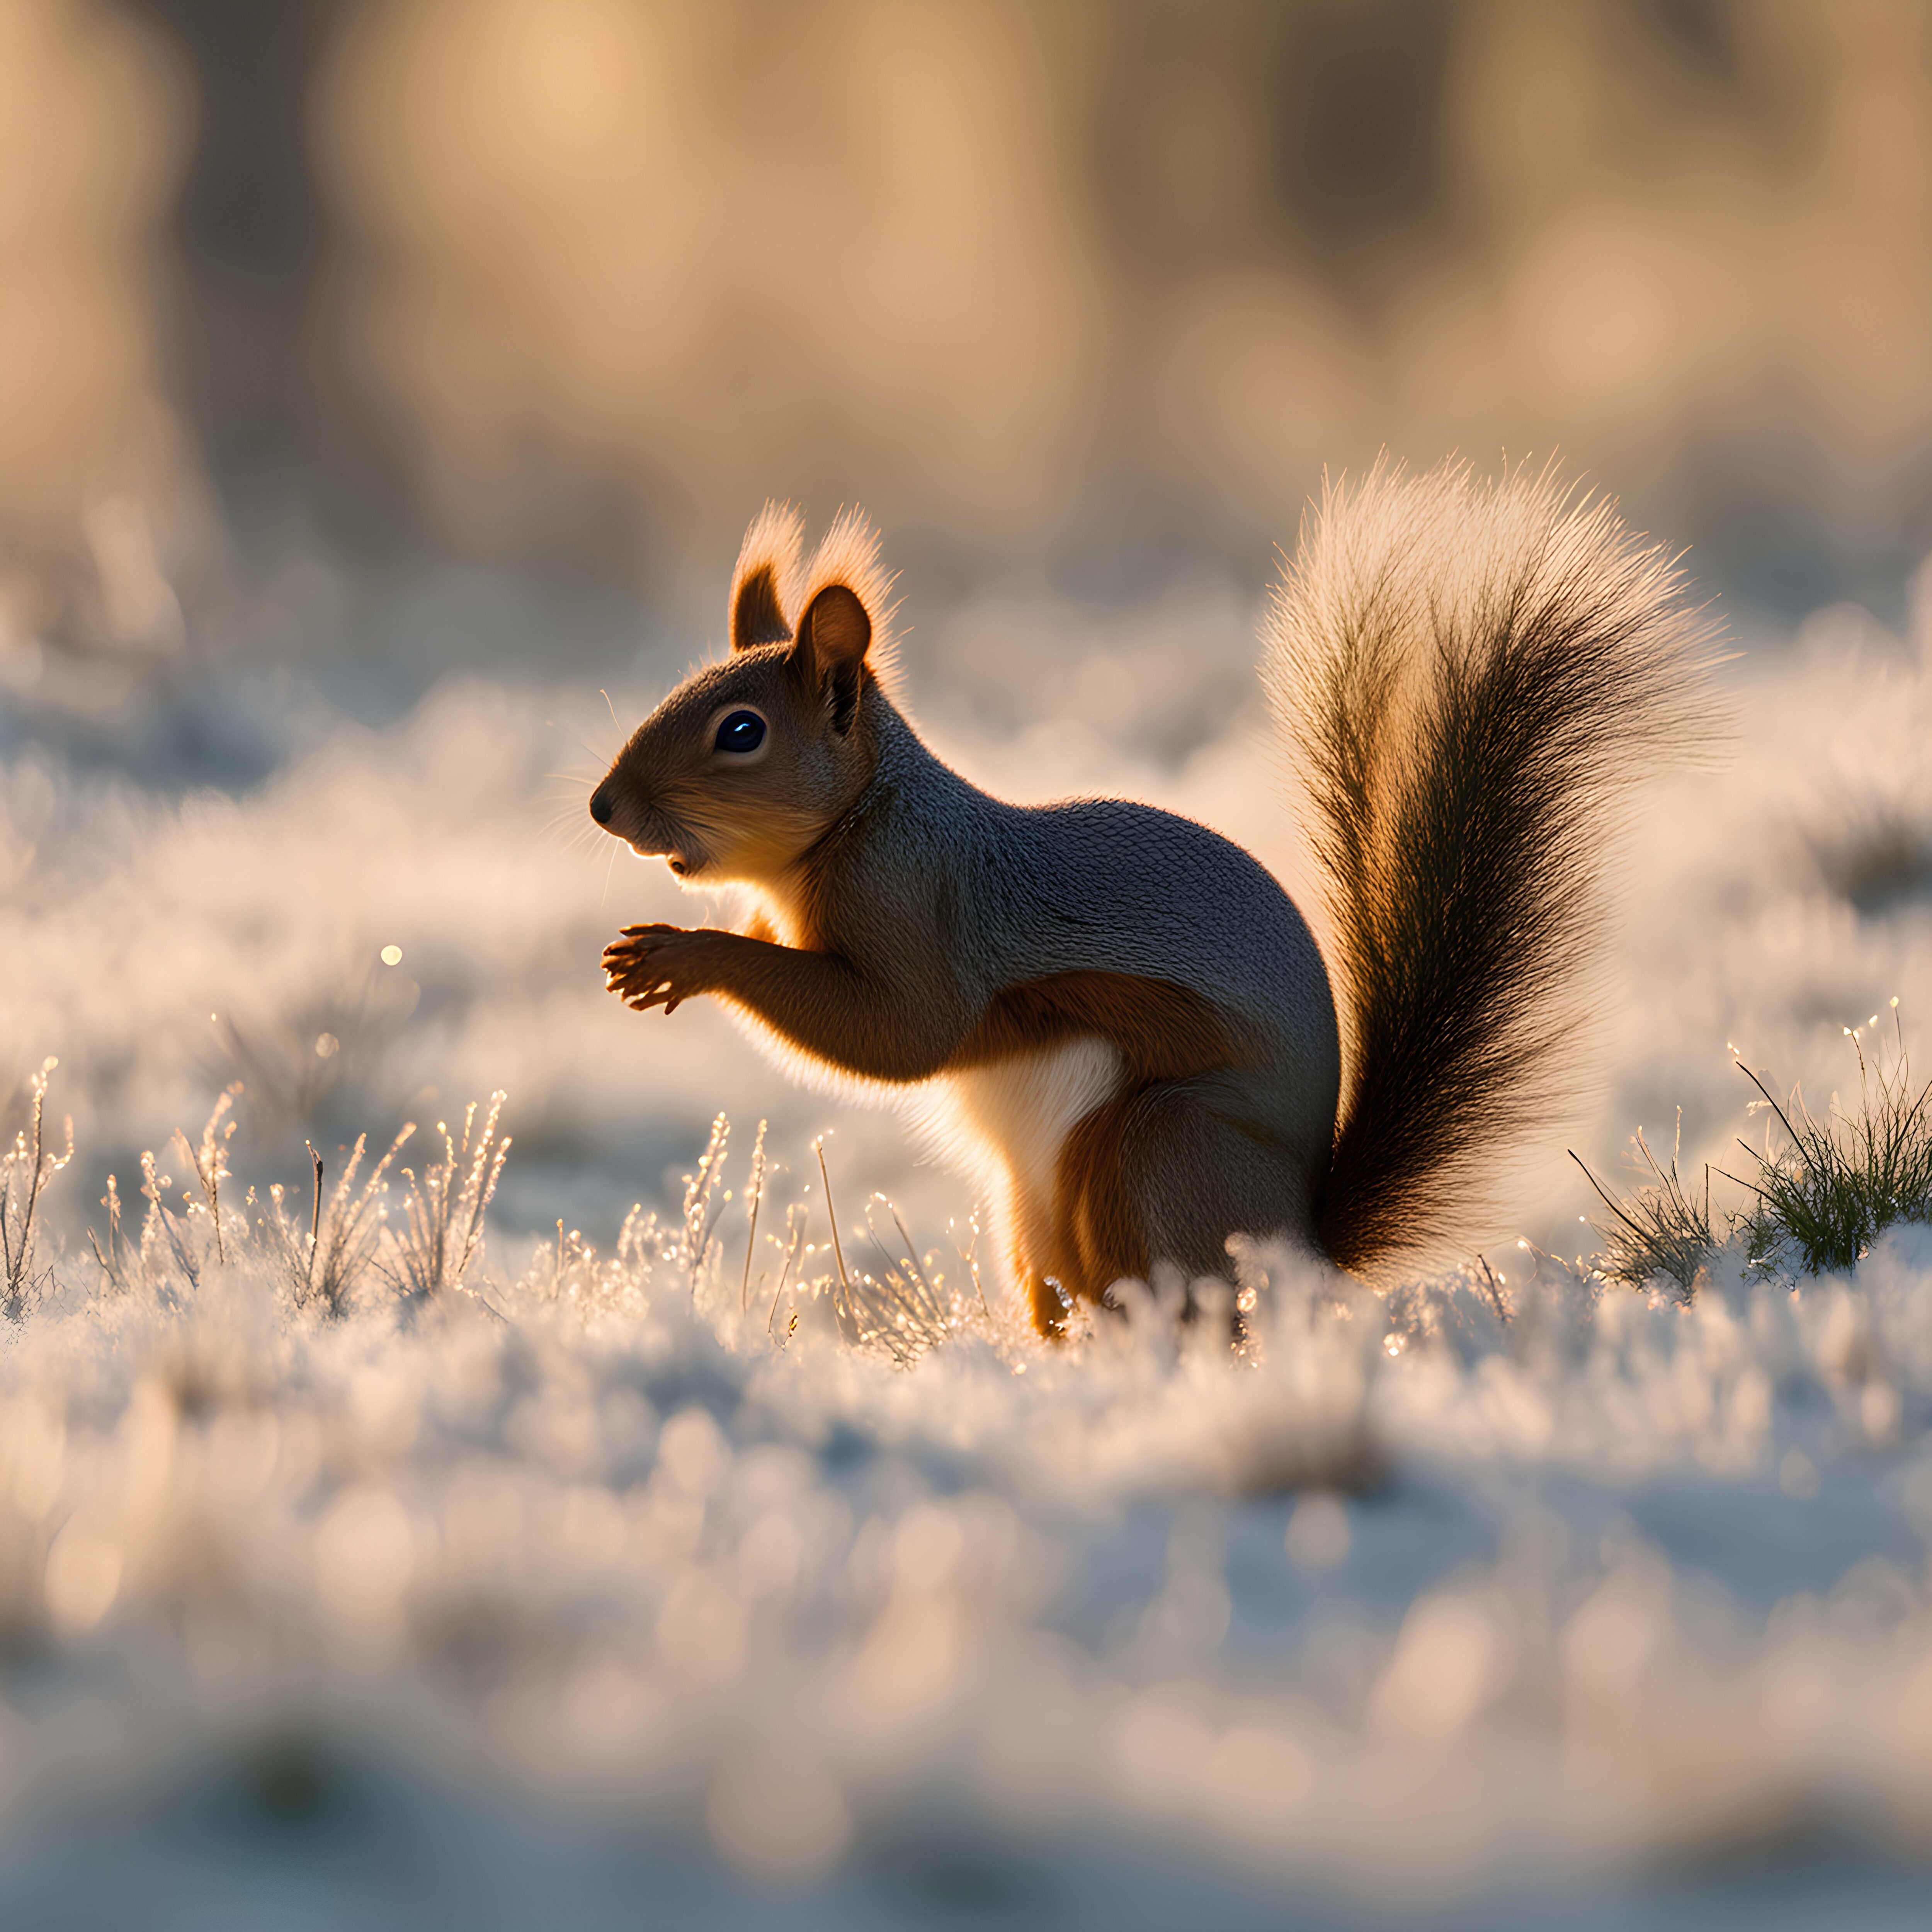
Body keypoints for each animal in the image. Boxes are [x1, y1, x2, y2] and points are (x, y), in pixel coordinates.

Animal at [591, 463, 1710, 1335]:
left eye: (741, 732)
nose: (605, 807)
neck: (859, 818)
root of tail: (1302, 1245)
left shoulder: (919, 911)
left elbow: (902, 1035)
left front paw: (681, 956)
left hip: (1154, 1149)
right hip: (1031, 1215)